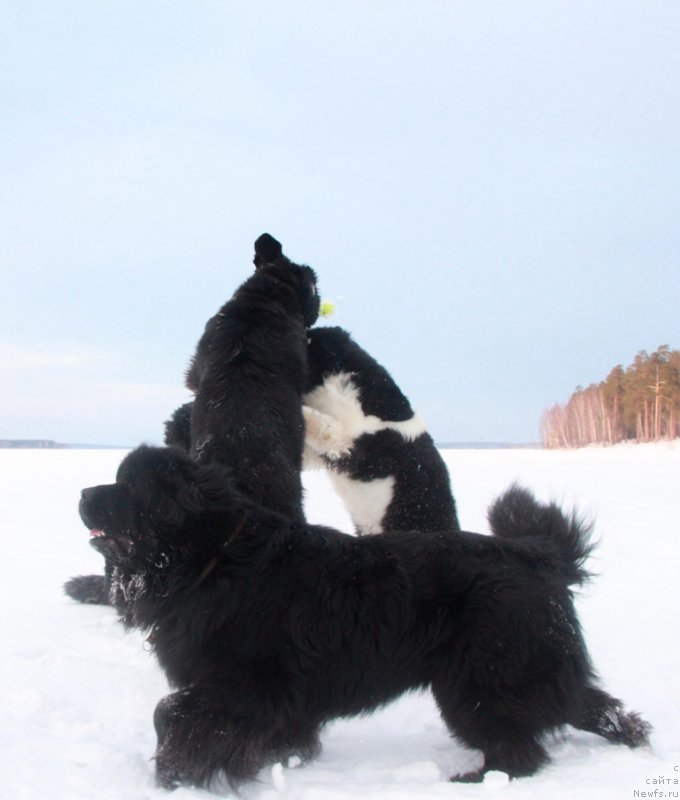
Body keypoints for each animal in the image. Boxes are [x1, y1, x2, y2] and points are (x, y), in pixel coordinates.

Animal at [78, 446, 648, 792]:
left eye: (129, 487)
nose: (84, 493)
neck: (212, 556)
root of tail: (537, 553)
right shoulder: (273, 695)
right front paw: (279, 760)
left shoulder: (244, 682)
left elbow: (170, 711)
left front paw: (177, 772)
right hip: (528, 667)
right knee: (590, 705)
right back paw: (635, 738)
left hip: (482, 682)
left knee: (520, 751)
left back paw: (471, 781)